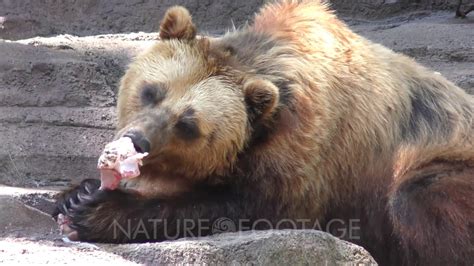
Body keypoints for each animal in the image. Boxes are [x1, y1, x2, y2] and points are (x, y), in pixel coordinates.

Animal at [52, 1, 474, 264]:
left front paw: (97, 210)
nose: (138, 139)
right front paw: (77, 193)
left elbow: (252, 206)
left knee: (417, 200)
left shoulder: (308, 153)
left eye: (188, 124)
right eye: (151, 90)